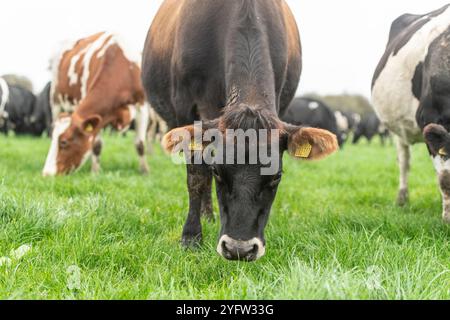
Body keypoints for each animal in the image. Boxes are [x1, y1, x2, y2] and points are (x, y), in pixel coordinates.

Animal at [42, 31, 151, 178]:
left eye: (64, 142)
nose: (46, 173)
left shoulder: (142, 107)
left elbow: (140, 144)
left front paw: (145, 171)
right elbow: (96, 145)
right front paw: (95, 171)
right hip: (55, 102)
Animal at [142, 0, 340, 260]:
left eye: (277, 176)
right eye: (218, 172)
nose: (239, 249)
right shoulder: (185, 107)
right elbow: (196, 176)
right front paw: (191, 236)